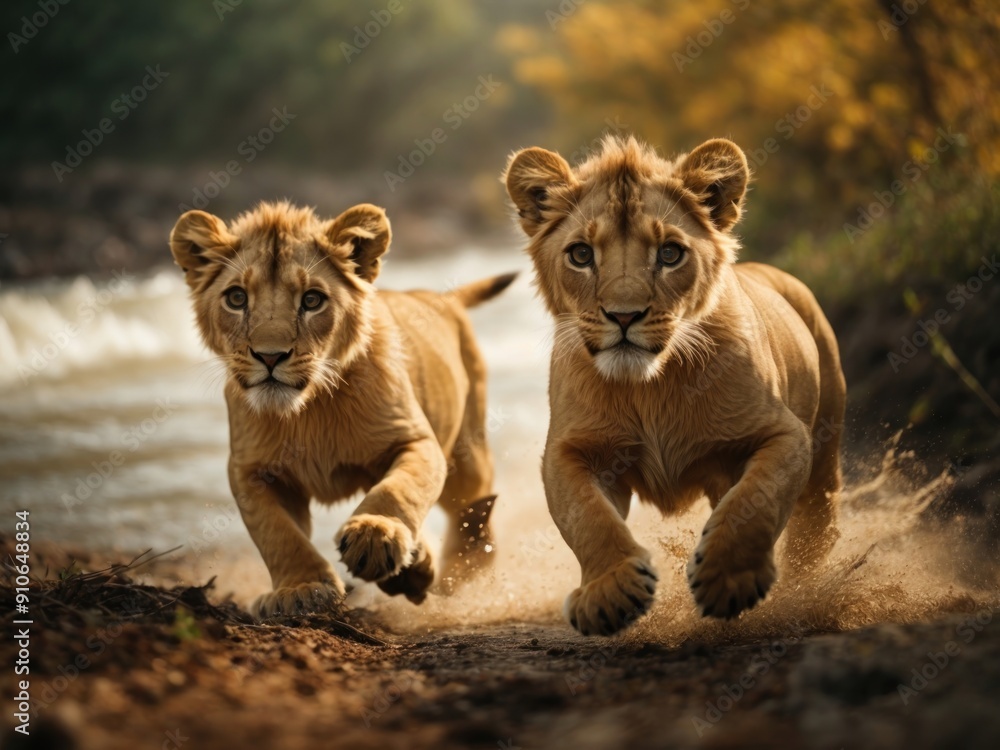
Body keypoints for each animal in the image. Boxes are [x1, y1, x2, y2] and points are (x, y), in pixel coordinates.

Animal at [169, 200, 515, 617]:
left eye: (312, 300)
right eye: (236, 299)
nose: (270, 357)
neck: (308, 410)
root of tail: (438, 297)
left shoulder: (415, 440)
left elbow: (400, 489)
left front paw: (375, 534)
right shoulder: (251, 471)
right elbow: (277, 533)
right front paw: (301, 588)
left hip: (467, 455)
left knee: (474, 508)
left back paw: (463, 571)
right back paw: (415, 567)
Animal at [504, 136, 845, 636]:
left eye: (669, 254)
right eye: (581, 255)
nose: (624, 316)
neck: (649, 386)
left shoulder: (786, 434)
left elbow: (758, 498)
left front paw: (728, 579)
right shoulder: (569, 450)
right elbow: (587, 517)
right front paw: (610, 592)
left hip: (825, 438)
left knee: (816, 514)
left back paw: (806, 585)